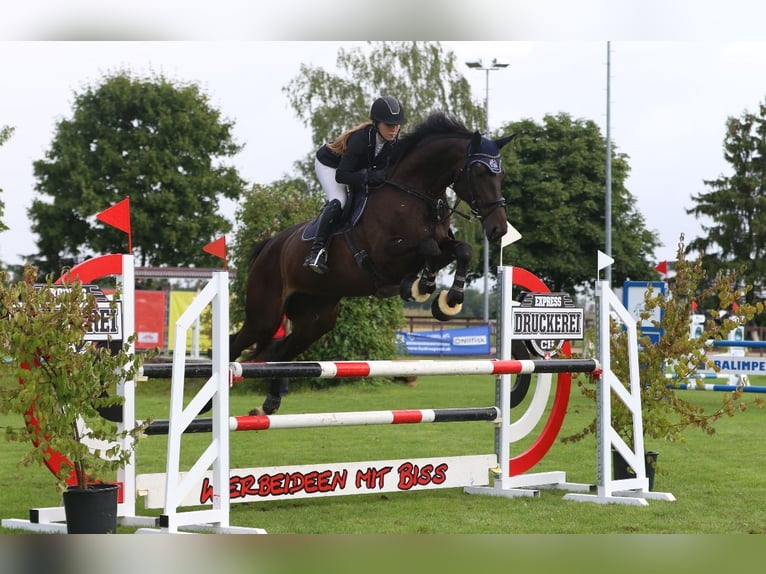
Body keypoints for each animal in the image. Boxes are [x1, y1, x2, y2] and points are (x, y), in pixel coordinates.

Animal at [230, 111, 516, 415]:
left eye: (501, 174)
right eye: (480, 172)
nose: (498, 229)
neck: (414, 195)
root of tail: (269, 246)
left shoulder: (443, 246)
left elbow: (462, 250)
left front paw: (449, 300)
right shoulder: (386, 257)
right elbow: (426, 247)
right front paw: (422, 285)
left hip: (316, 319)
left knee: (279, 351)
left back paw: (269, 403)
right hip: (265, 314)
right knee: (236, 344)